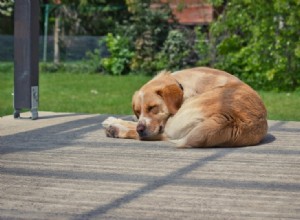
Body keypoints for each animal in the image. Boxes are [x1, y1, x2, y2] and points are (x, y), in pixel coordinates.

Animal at [101, 67, 268, 148]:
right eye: (137, 111)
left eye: (153, 107)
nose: (141, 129)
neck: (180, 82)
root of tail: (231, 119)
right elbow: (134, 121)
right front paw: (112, 119)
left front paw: (115, 123)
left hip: (175, 122)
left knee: (157, 136)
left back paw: (115, 130)